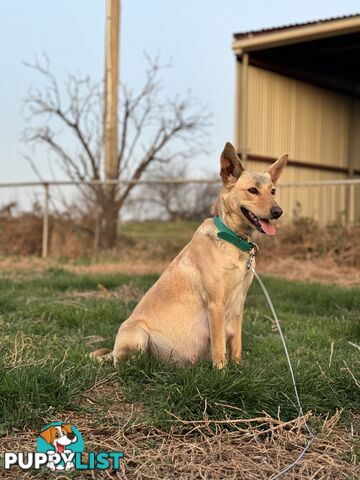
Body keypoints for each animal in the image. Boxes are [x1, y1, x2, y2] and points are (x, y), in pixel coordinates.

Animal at [91, 142, 288, 368]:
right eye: (252, 190)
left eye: (273, 191)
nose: (278, 212)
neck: (233, 239)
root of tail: (113, 351)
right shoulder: (216, 304)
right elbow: (219, 346)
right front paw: (222, 372)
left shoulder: (239, 305)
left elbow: (236, 343)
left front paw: (238, 367)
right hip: (137, 335)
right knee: (124, 363)